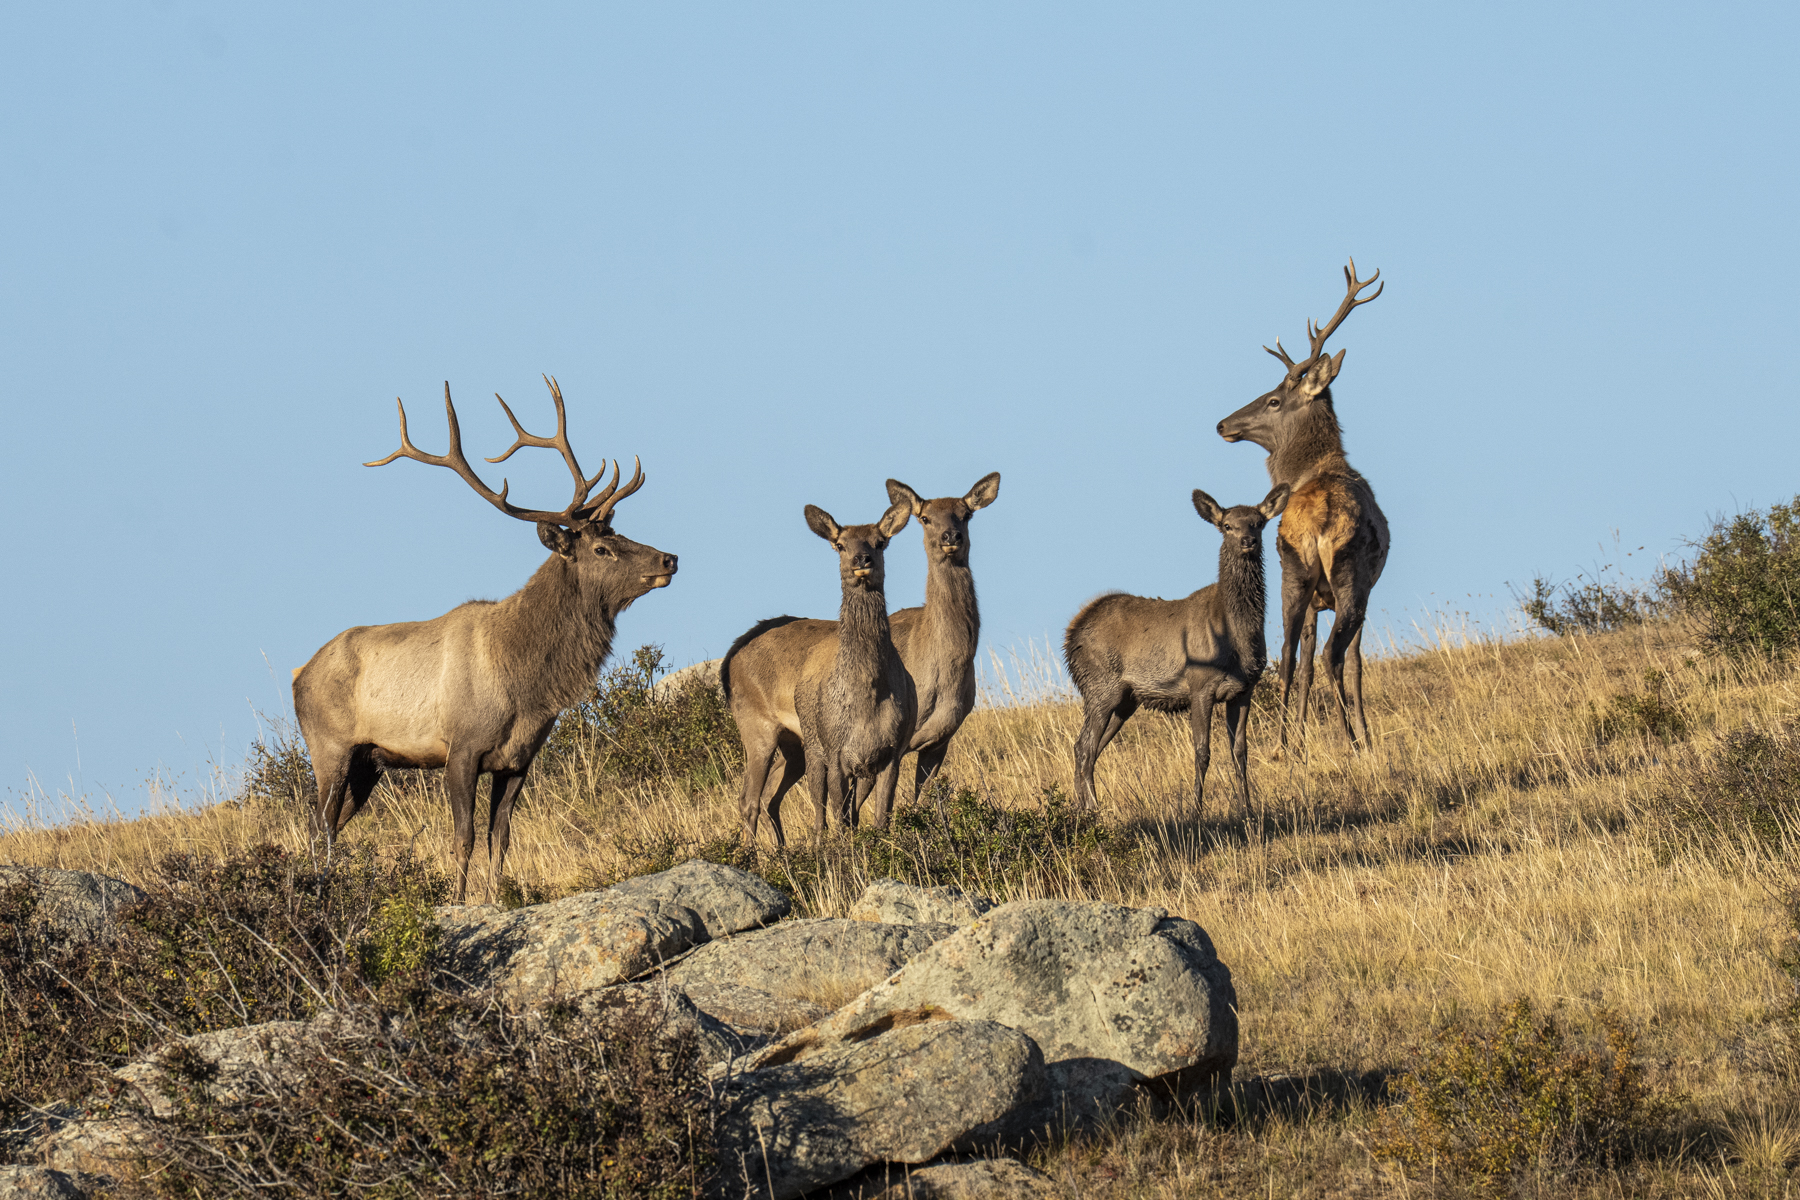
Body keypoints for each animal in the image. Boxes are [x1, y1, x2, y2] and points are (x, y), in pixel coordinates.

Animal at [291, 377, 677, 902]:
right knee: (319, 827)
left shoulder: (518, 760)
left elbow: (502, 837)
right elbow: (464, 837)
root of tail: (297, 676)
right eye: (601, 548)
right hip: (328, 747)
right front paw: (456, 902)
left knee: (328, 825)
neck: (525, 683)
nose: (669, 559)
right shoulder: (461, 748)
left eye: (620, 532)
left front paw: (496, 899)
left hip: (368, 763)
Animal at [721, 499, 915, 847]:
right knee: (756, 799)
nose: (861, 559)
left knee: (771, 797)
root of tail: (726, 663)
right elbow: (839, 815)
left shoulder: (893, 751)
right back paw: (759, 852)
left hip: (795, 747)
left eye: (880, 542)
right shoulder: (835, 750)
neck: (868, 696)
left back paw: (783, 849)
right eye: (840, 545)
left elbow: (879, 817)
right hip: (766, 730)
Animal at [1063, 485, 1288, 826]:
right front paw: (1196, 811)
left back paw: (1084, 809)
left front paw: (1247, 810)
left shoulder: (1244, 689)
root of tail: (1070, 637)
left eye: (1259, 522)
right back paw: (1093, 810)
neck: (1237, 639)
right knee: (1084, 746)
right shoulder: (1200, 686)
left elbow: (1240, 752)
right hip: (1100, 686)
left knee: (1090, 748)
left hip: (1125, 701)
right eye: (1227, 525)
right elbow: (1202, 751)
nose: (1247, 540)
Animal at [1217, 259, 1390, 757]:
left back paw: (1284, 744)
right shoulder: (1363, 589)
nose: (1223, 424)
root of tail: (1319, 523)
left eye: (1274, 399)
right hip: (1349, 576)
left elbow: (1305, 662)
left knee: (1289, 655)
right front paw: (1362, 734)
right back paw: (1352, 740)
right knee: (1334, 655)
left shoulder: (1314, 595)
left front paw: (1297, 737)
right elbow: (1353, 663)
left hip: (1293, 573)